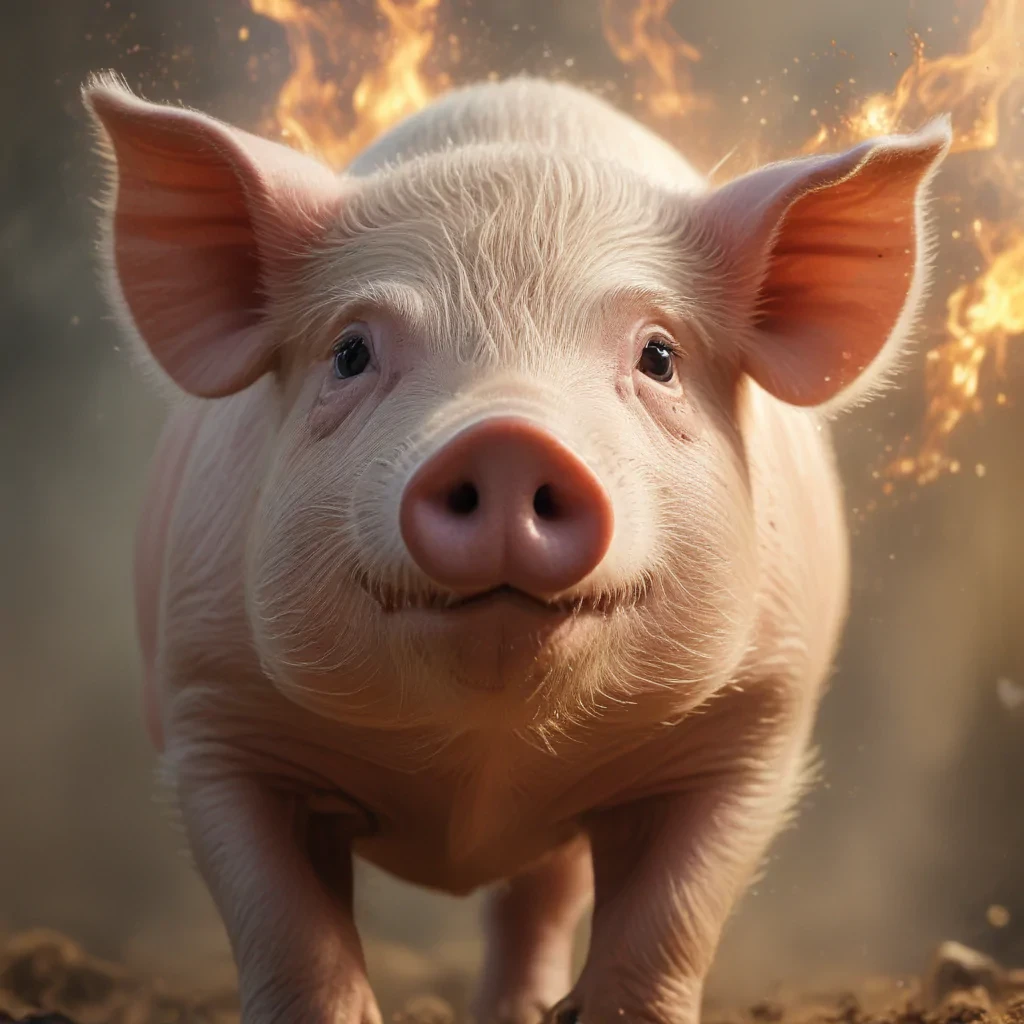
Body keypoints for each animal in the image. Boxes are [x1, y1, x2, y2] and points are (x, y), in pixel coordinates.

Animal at [83, 71, 950, 1024]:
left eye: (659, 356)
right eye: (349, 353)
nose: (506, 438)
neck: (483, 758)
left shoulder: (756, 726)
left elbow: (666, 928)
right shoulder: (211, 711)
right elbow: (286, 928)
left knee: (540, 897)